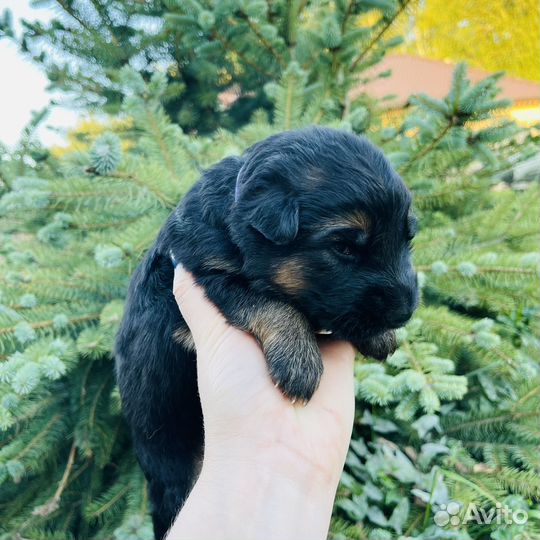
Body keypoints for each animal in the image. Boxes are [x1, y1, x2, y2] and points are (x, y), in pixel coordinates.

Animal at [114, 127, 418, 540]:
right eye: (343, 247)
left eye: (408, 239)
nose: (405, 312)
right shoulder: (206, 277)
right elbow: (271, 303)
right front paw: (299, 361)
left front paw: (381, 337)